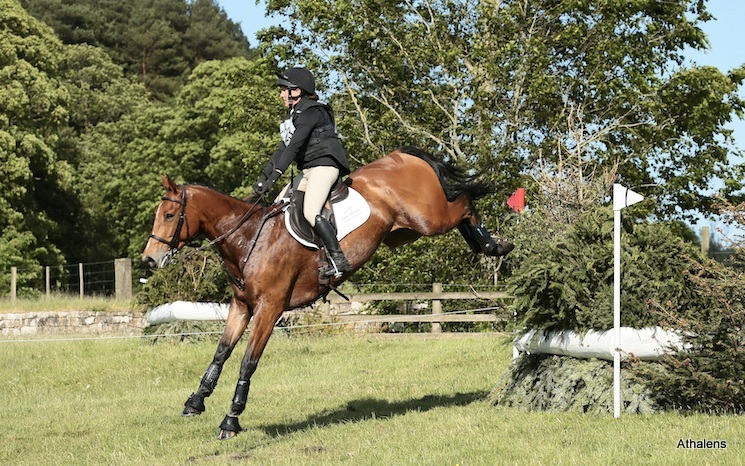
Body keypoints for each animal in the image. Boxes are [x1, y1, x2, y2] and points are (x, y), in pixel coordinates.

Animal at [141, 147, 513, 439]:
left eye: (170, 215)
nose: (149, 259)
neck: (248, 238)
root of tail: (402, 156)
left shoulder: (269, 309)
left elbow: (248, 361)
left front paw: (231, 420)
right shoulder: (242, 305)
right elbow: (221, 352)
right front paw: (196, 401)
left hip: (428, 217)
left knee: (463, 202)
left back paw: (495, 244)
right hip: (404, 232)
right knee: (459, 210)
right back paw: (486, 244)